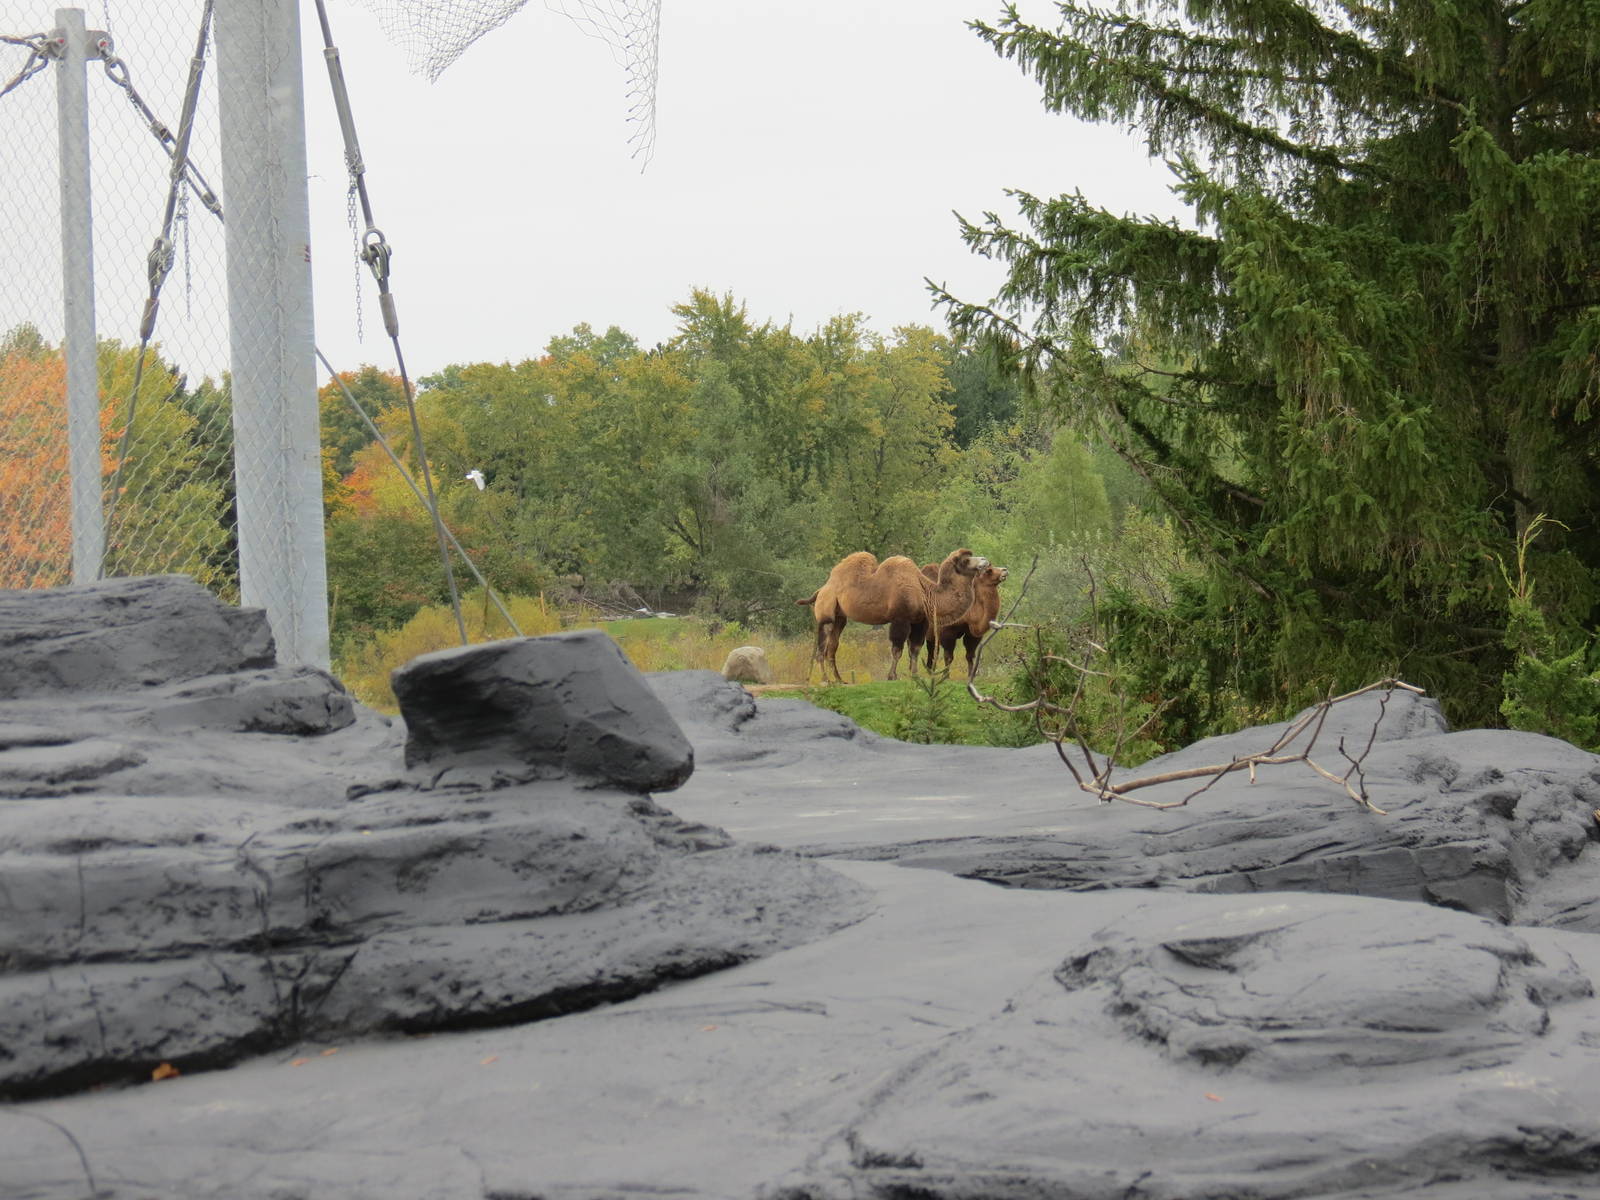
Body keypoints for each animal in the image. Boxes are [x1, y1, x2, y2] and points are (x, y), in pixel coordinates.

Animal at [797, 547, 989, 683]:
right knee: (823, 645)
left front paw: (915, 675)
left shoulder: (920, 621)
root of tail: (822, 589)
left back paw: (839, 680)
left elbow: (915, 649)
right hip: (826, 610)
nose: (985, 560)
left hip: (840, 617)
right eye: (966, 560)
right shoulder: (900, 619)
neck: (925, 593)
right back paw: (825, 680)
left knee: (832, 646)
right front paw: (892, 676)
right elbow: (897, 649)